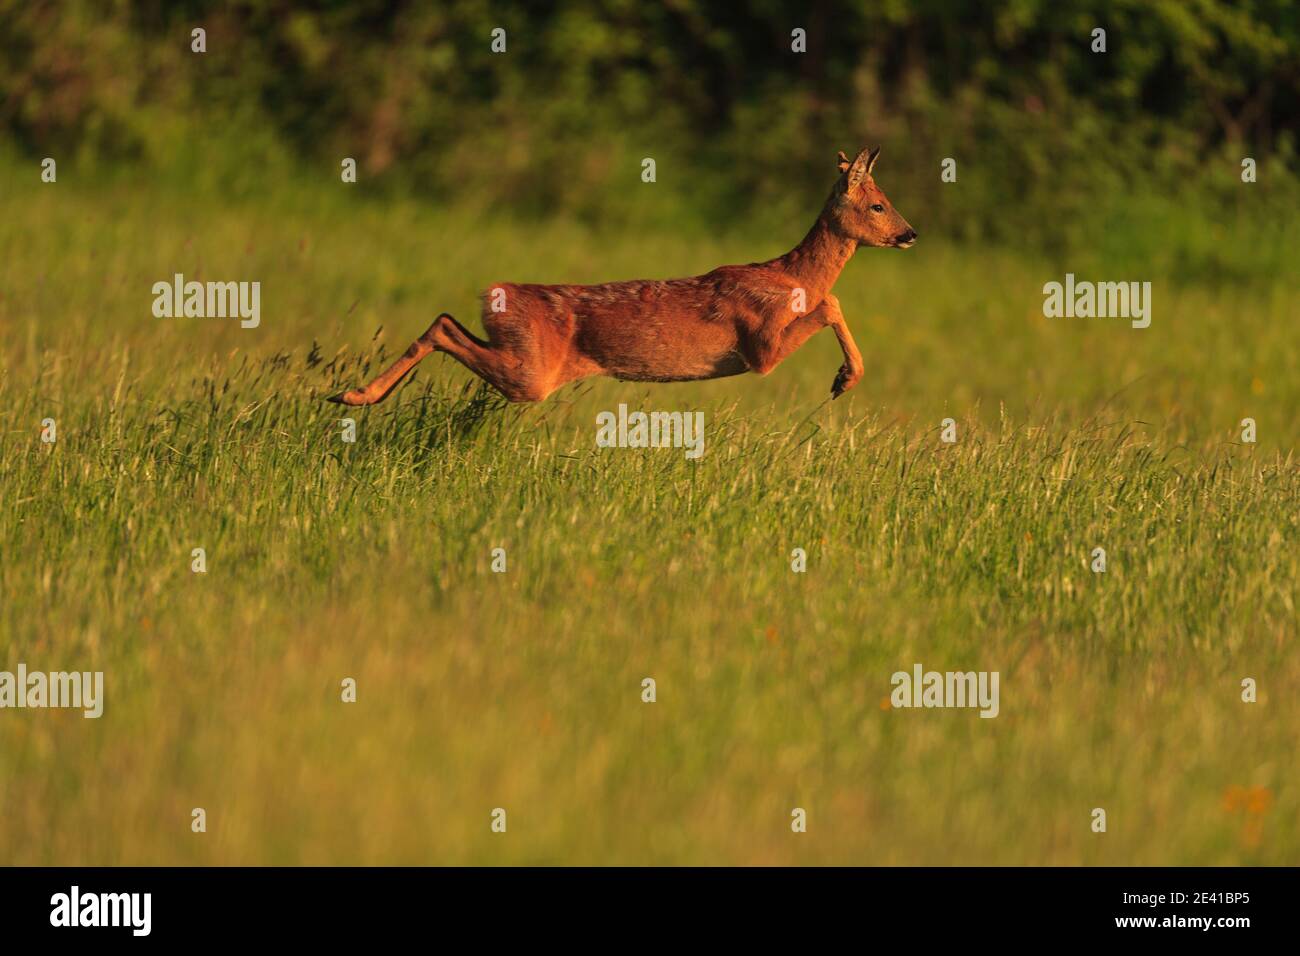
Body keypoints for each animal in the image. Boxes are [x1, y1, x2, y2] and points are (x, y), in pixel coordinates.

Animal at [325, 145, 915, 408]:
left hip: (520, 355)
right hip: (532, 373)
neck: (791, 277)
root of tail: (495, 294)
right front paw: (844, 380)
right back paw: (354, 397)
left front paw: (844, 379)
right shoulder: (760, 349)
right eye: (879, 204)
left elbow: (832, 303)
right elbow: (831, 304)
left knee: (445, 318)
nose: (911, 233)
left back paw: (352, 395)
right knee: (446, 327)